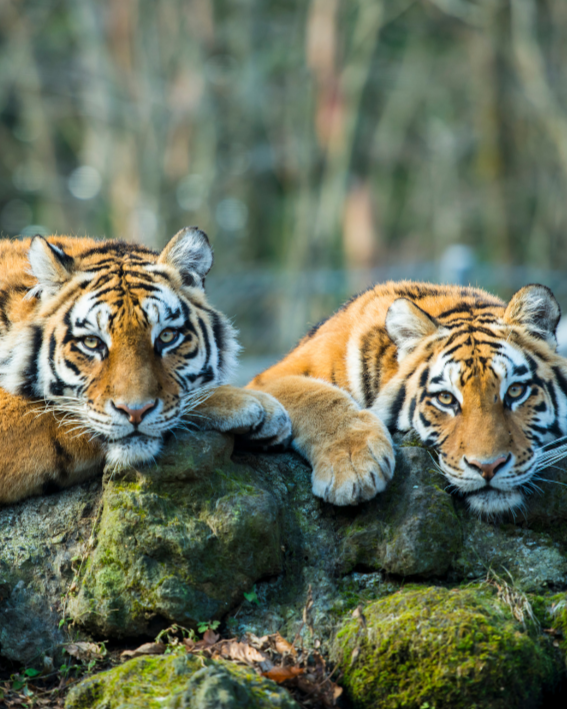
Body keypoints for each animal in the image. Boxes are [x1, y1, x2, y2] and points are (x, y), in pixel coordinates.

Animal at [247, 281, 567, 516]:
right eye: (446, 399)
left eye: (515, 391)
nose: (488, 467)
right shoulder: (268, 379)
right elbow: (316, 394)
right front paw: (353, 468)